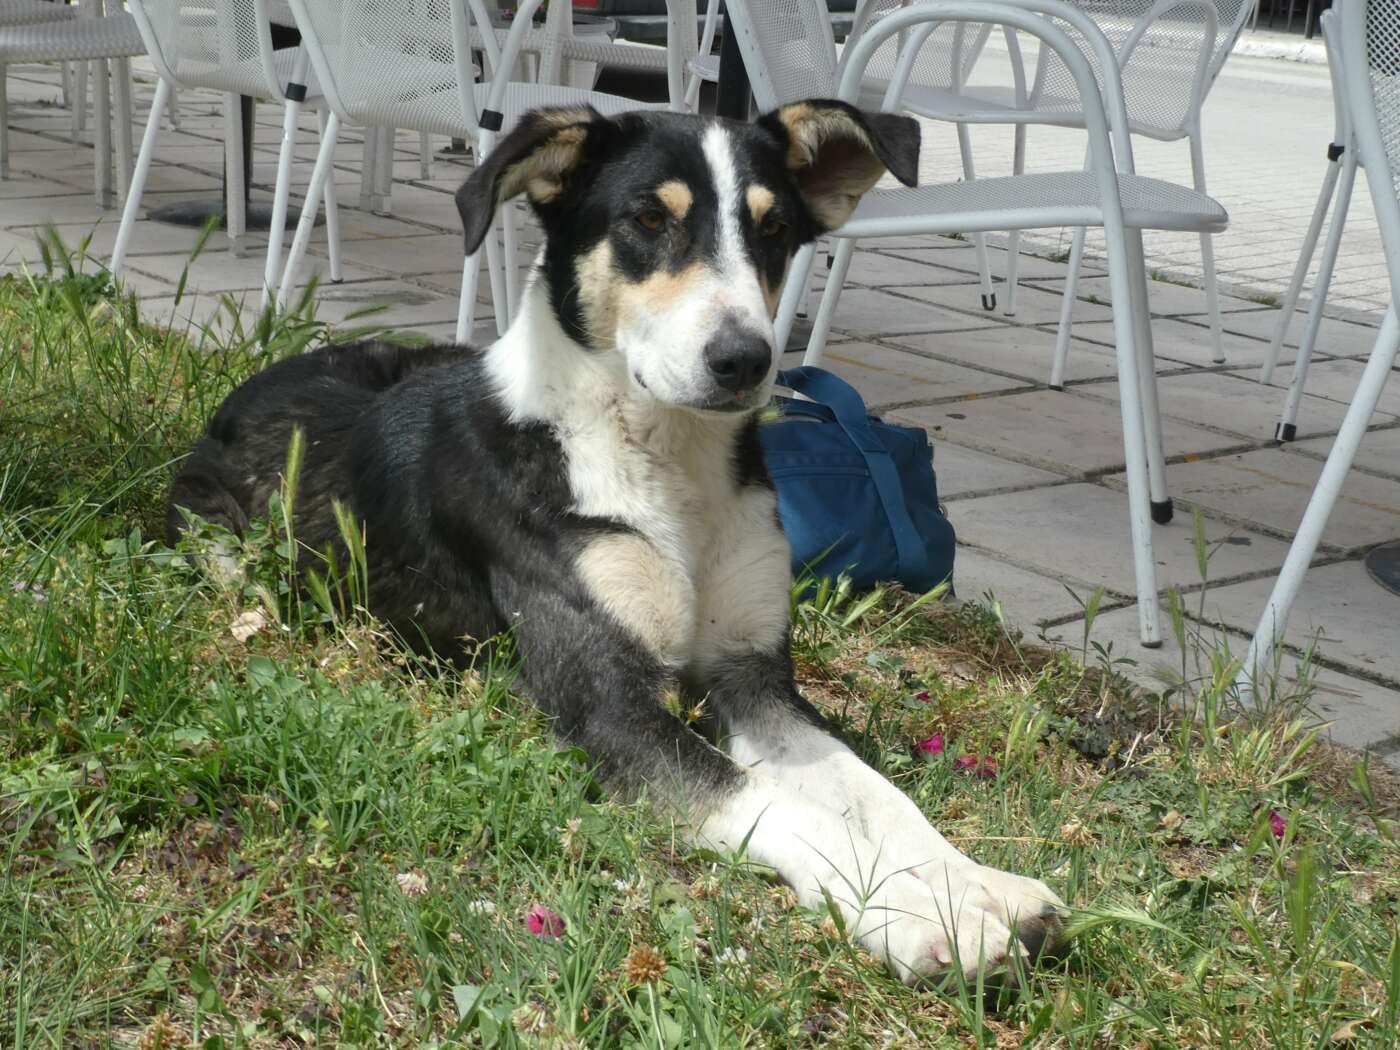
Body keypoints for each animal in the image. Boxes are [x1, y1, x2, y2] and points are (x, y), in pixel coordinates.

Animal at [167, 100, 1065, 984]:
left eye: (774, 230)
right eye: (647, 219)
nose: (745, 360)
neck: (664, 460)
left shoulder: (752, 675)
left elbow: (873, 789)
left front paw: (979, 882)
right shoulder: (606, 700)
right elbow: (777, 802)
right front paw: (920, 914)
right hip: (208, 528)